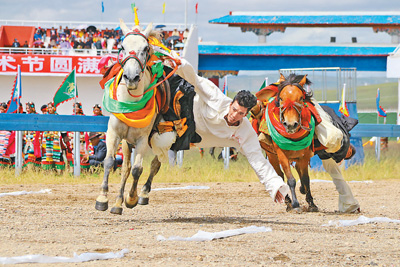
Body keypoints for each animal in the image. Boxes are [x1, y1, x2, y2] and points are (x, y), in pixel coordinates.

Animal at [253, 73, 322, 211]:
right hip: (272, 156)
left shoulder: (304, 155)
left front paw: (311, 203)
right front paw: (295, 204)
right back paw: (288, 201)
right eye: (281, 98)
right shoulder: (281, 155)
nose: (290, 124)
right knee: (280, 175)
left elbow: (305, 179)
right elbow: (290, 180)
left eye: (301, 98)